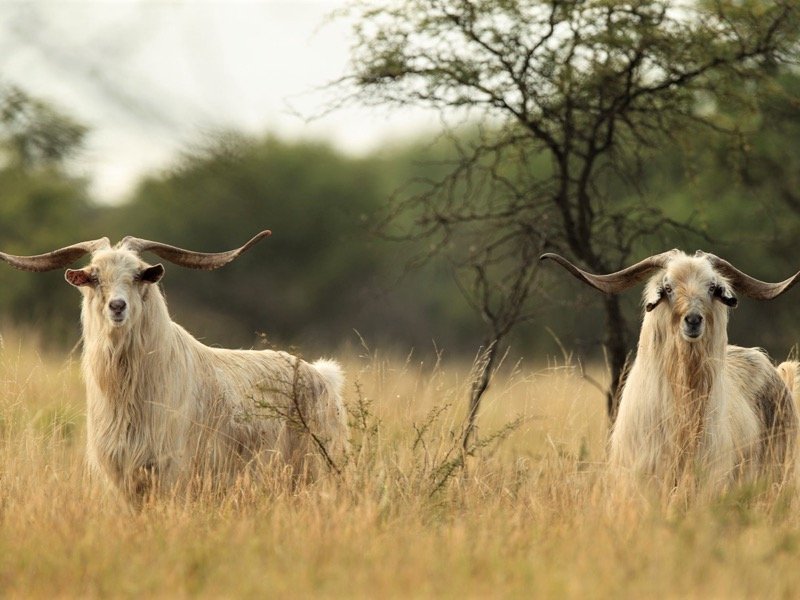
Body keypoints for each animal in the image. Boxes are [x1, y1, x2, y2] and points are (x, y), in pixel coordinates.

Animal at [0, 232, 349, 505]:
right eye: (94, 276)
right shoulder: (124, 477)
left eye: (139, 275)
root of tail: (323, 375)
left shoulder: (171, 471)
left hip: (317, 468)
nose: (117, 306)